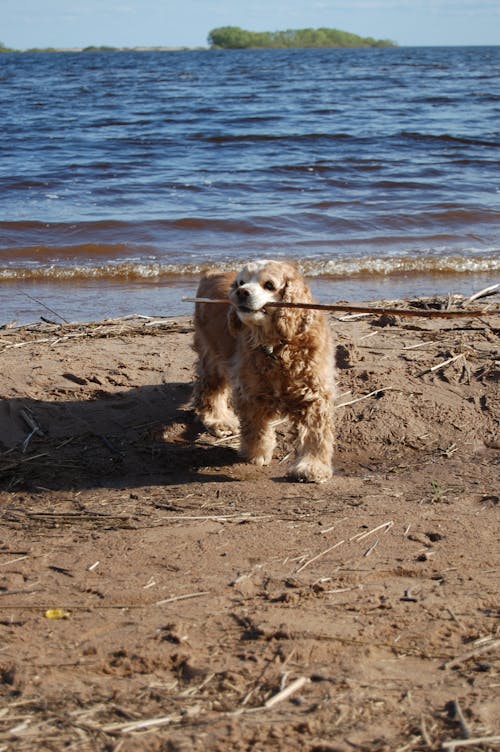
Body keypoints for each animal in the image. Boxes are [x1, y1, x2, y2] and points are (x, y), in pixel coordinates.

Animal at [191, 258, 336, 482]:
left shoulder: (315, 393)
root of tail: (212, 273)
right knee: (209, 390)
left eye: (269, 285)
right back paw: (219, 421)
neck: (277, 345)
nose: (241, 292)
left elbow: (316, 434)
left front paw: (313, 466)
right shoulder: (251, 390)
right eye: (241, 282)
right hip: (212, 355)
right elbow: (255, 427)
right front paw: (256, 453)